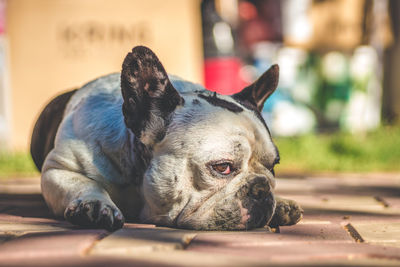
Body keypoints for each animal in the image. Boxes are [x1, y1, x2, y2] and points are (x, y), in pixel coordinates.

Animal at [29, 46, 302, 232]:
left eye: (273, 166)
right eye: (222, 167)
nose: (262, 188)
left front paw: (280, 203)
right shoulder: (58, 168)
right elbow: (82, 182)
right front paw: (94, 204)